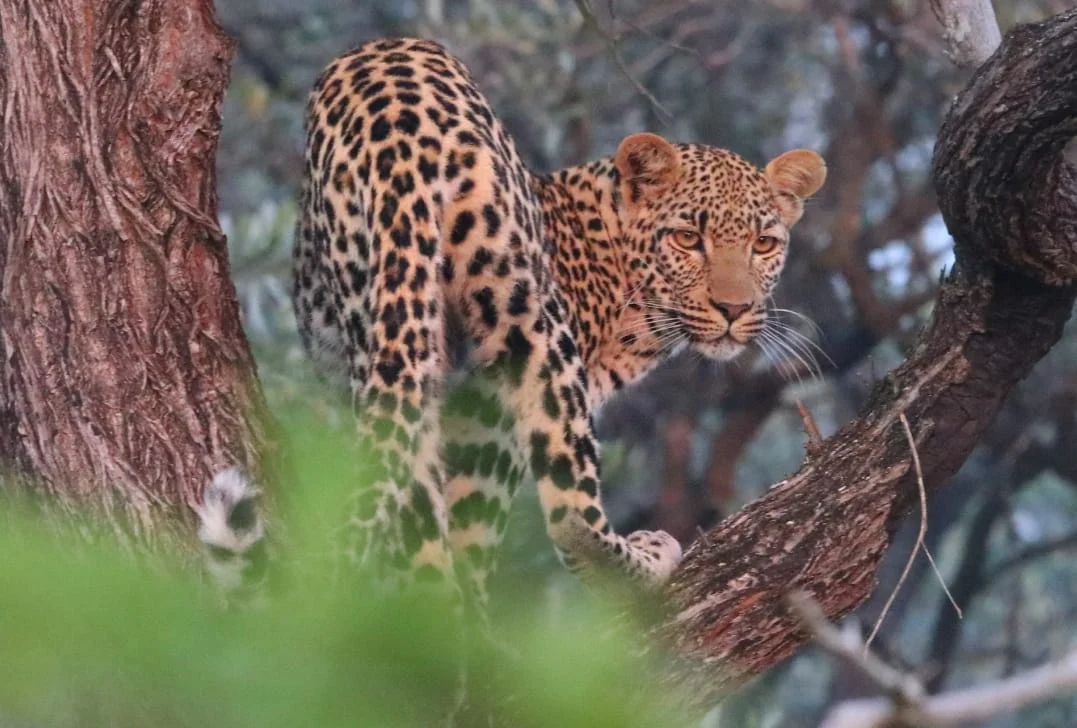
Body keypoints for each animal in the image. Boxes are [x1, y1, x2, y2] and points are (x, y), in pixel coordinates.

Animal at [199, 37, 825, 609]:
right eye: (688, 239)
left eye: (764, 244)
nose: (733, 309)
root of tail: (396, 137)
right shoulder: (488, 409)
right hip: (530, 333)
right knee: (567, 516)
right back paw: (640, 562)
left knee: (417, 521)